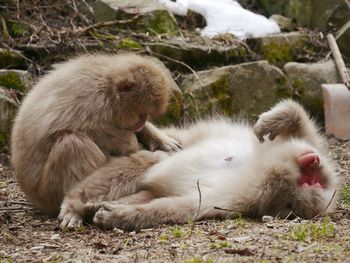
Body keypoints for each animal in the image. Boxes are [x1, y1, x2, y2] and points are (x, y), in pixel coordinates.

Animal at [10, 52, 180, 216]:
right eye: (142, 113)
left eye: (146, 115)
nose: (142, 122)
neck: (108, 89)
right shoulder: (90, 99)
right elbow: (58, 129)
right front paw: (130, 142)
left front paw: (157, 136)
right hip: (48, 193)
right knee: (73, 143)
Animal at [59, 100, 340, 230]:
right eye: (313, 174)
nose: (314, 161)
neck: (260, 167)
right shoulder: (301, 145)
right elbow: (303, 129)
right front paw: (276, 120)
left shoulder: (238, 198)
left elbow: (186, 206)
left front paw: (119, 215)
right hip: (179, 142)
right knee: (163, 152)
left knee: (151, 172)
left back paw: (81, 205)